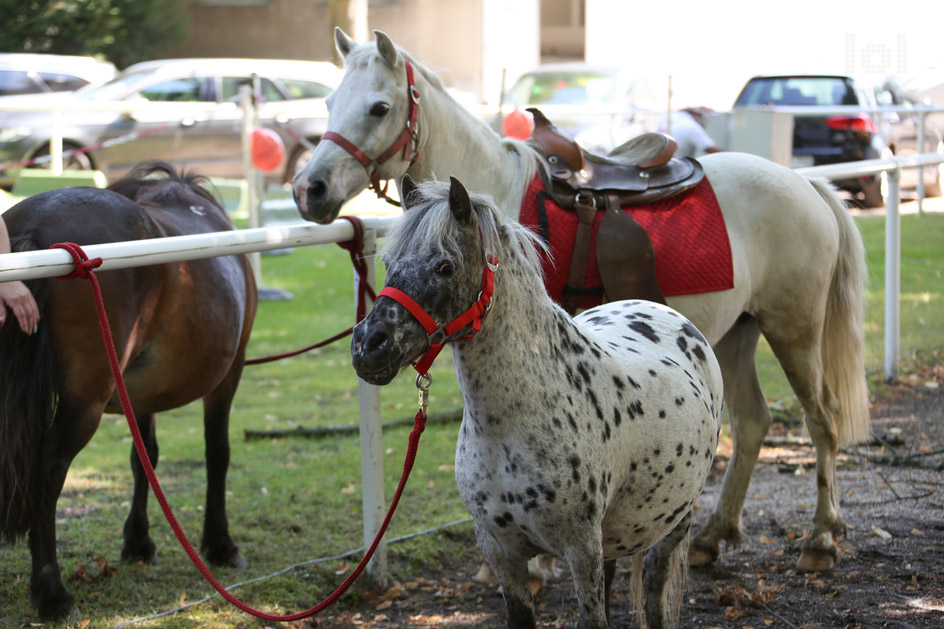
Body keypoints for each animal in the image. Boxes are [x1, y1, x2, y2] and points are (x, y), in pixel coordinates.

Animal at [0, 161, 258, 620]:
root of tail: (35, 227)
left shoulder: (139, 393)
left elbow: (145, 458)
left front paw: (138, 542)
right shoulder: (229, 377)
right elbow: (217, 454)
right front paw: (220, 544)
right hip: (84, 404)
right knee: (49, 471)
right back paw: (53, 593)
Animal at [296, 30, 872, 576]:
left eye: (379, 107)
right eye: (328, 101)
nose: (309, 188)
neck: (501, 194)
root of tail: (808, 184)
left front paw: (537, 564)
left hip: (794, 329)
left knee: (822, 419)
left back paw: (820, 539)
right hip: (737, 333)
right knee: (753, 422)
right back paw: (714, 535)